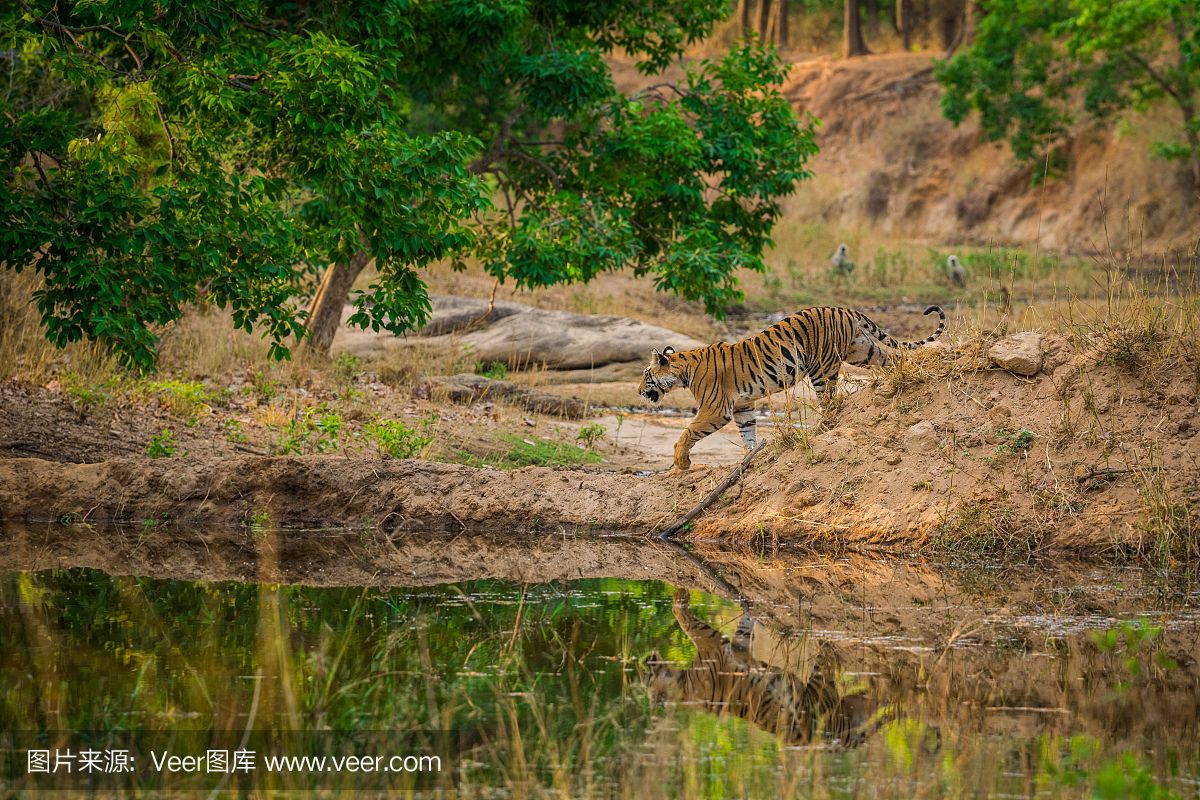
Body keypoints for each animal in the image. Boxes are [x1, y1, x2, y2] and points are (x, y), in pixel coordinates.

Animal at [638, 304, 945, 470]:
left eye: (646, 375)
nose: (639, 391)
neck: (684, 370)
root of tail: (843, 308)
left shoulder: (715, 409)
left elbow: (688, 432)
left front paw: (682, 462)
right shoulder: (742, 406)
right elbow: (748, 433)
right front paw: (751, 456)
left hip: (823, 369)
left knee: (831, 404)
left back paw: (818, 432)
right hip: (862, 350)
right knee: (895, 358)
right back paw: (903, 377)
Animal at [643, 585, 888, 748]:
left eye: (647, 679)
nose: (648, 658)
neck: (682, 686)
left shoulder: (718, 643)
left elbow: (685, 619)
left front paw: (679, 594)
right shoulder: (728, 644)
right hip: (836, 704)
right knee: (872, 695)